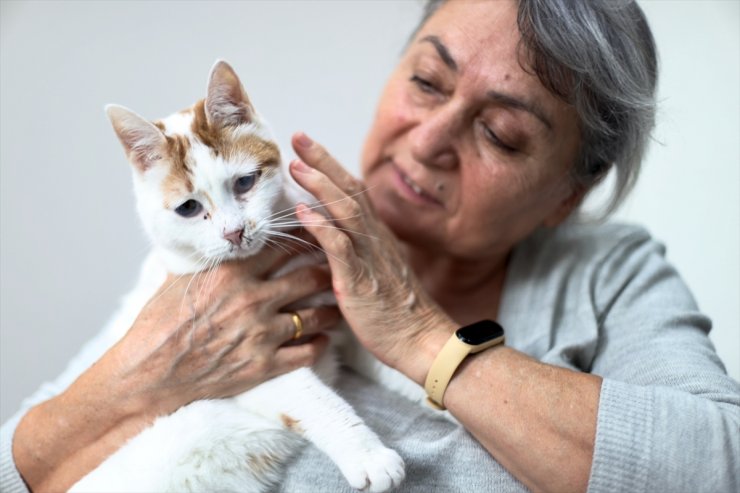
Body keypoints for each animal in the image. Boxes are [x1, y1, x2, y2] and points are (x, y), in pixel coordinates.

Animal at [67, 60, 414, 492]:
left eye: (245, 182)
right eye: (188, 208)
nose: (234, 232)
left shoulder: (341, 324)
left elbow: (398, 367)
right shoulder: (255, 370)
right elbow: (317, 402)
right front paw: (367, 455)